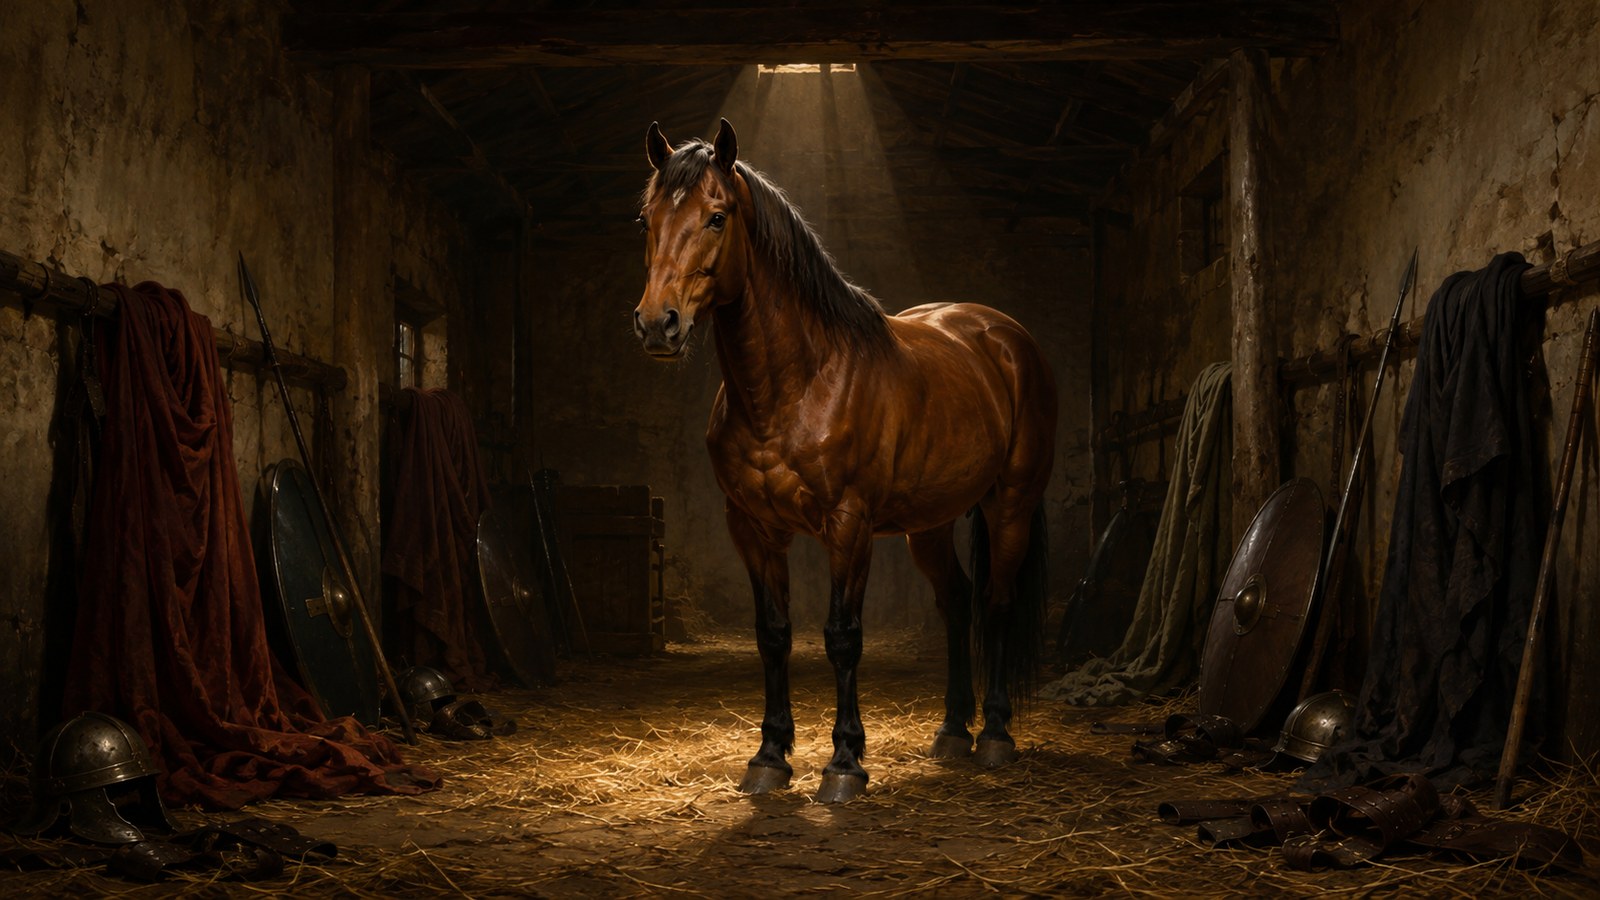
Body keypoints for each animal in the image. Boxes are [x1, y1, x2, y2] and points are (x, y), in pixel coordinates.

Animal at [632, 118, 1057, 802]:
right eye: (646, 219)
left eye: (717, 217)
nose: (656, 324)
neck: (797, 384)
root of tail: (1004, 337)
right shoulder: (753, 528)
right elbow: (773, 635)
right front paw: (770, 757)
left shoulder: (848, 527)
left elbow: (842, 637)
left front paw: (845, 763)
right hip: (929, 525)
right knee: (957, 602)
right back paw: (951, 732)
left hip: (1010, 506)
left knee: (995, 604)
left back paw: (994, 735)